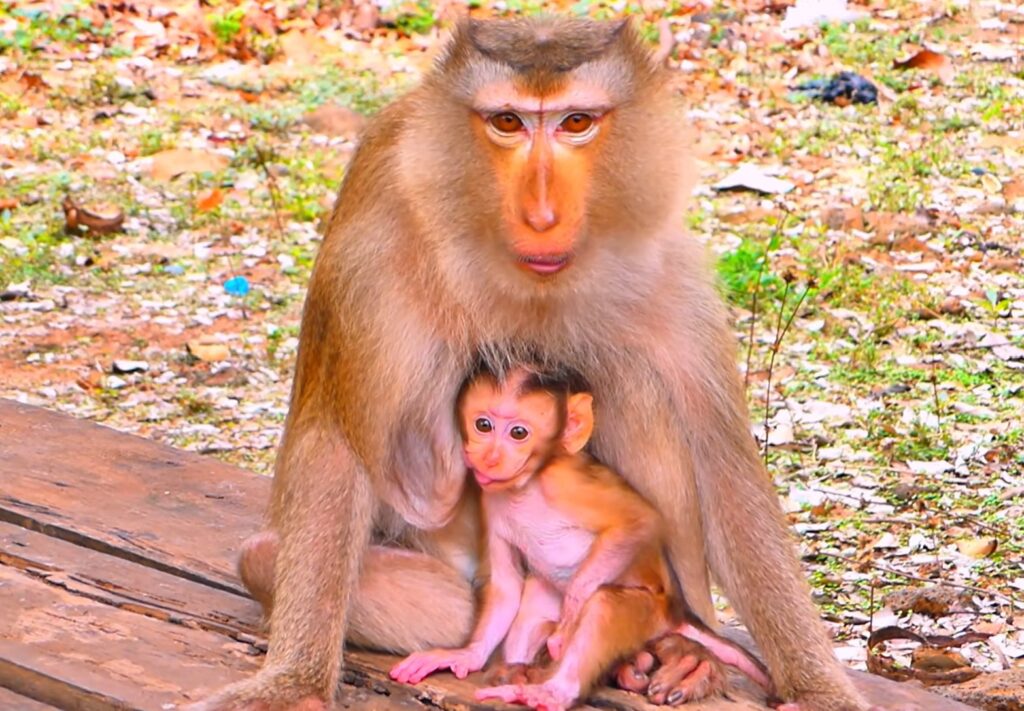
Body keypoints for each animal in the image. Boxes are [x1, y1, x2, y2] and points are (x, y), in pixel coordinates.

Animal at [390, 363, 776, 710]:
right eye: (483, 424)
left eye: (518, 433)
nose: (491, 456)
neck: (527, 486)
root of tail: (676, 610)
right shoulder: (492, 501)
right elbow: (506, 588)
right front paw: (467, 655)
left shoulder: (567, 484)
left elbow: (641, 521)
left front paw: (574, 609)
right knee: (528, 617)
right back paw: (521, 670)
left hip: (651, 612)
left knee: (605, 605)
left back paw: (554, 692)